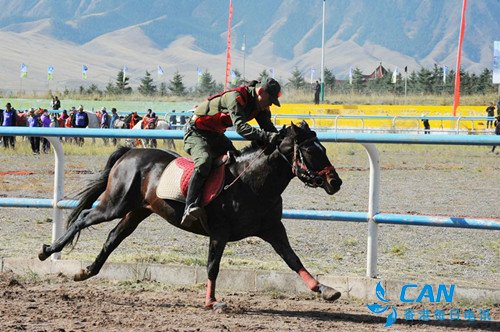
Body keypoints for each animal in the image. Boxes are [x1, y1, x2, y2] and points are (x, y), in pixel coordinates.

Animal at [39, 121, 344, 308]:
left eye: (323, 148)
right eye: (310, 150)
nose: (335, 182)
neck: (252, 183)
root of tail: (129, 152)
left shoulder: (272, 229)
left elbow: (293, 260)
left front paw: (325, 289)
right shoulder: (219, 233)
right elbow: (212, 266)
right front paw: (212, 302)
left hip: (137, 211)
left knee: (113, 237)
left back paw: (87, 271)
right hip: (115, 204)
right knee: (83, 218)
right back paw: (47, 251)